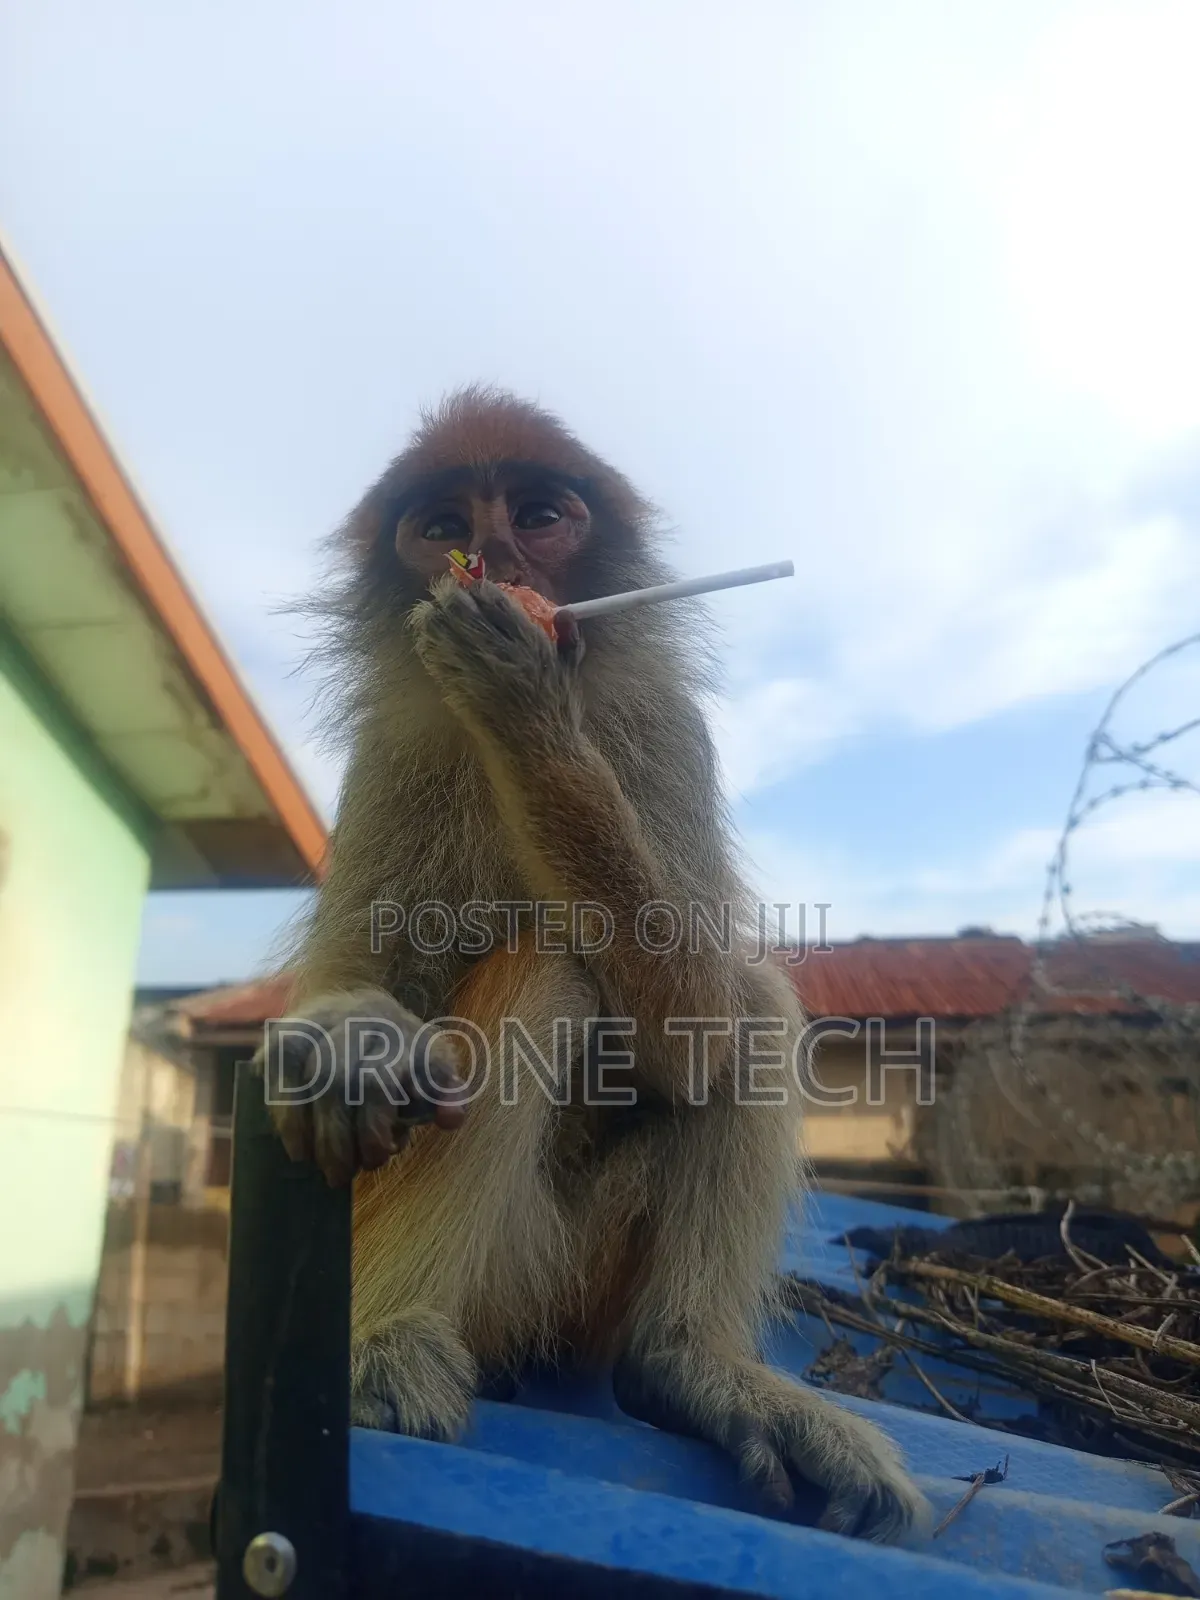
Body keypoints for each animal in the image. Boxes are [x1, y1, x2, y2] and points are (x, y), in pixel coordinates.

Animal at [261, 387, 928, 1544]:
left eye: (538, 515)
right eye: (442, 526)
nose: (484, 562)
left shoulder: (664, 726)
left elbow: (695, 1036)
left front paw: (524, 704)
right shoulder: (394, 747)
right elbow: (358, 993)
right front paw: (350, 1035)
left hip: (576, 1272)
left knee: (736, 999)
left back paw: (686, 1366)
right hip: (485, 1260)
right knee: (555, 978)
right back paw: (387, 1334)